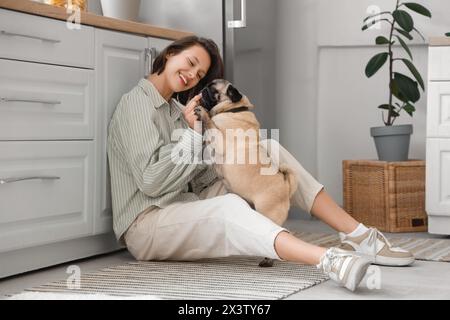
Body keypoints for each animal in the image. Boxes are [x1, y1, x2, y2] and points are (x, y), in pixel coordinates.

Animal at [194, 80, 298, 268]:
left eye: (213, 90)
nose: (203, 88)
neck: (233, 109)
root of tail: (286, 186)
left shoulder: (220, 140)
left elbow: (210, 124)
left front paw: (202, 112)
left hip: (267, 214)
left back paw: (266, 260)